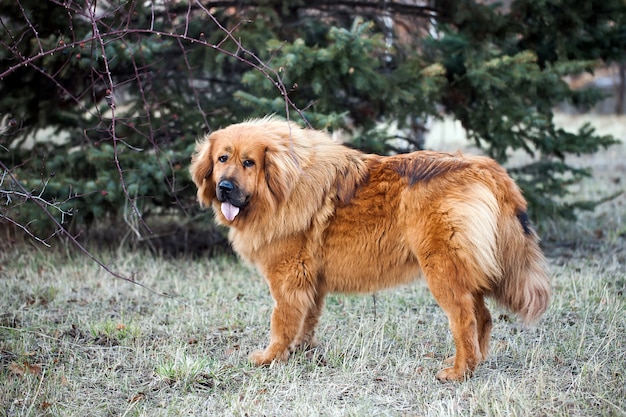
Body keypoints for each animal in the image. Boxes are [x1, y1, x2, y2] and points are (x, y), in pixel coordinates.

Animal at [188, 116, 548, 380]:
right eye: (222, 159)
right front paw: (301, 351)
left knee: (464, 319)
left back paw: (459, 372)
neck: (282, 189)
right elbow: (306, 321)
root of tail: (487, 168)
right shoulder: (311, 283)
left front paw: (271, 357)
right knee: (483, 317)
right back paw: (475, 363)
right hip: (461, 271)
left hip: (443, 271)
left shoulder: (288, 280)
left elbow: (282, 323)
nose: (224, 187)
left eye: (249, 162)